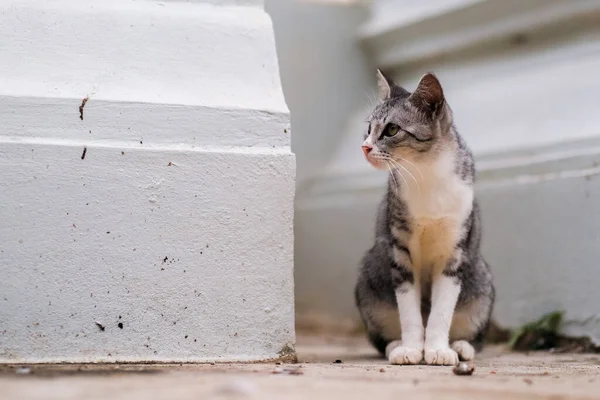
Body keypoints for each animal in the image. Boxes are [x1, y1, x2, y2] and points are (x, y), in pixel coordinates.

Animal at [354, 69, 494, 366]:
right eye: (369, 129)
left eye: (391, 129)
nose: (364, 147)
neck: (426, 173)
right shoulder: (400, 249)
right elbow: (408, 310)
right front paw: (411, 348)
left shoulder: (454, 251)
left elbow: (441, 311)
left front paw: (438, 350)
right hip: (369, 279)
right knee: (380, 337)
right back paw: (396, 344)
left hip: (481, 282)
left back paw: (461, 346)